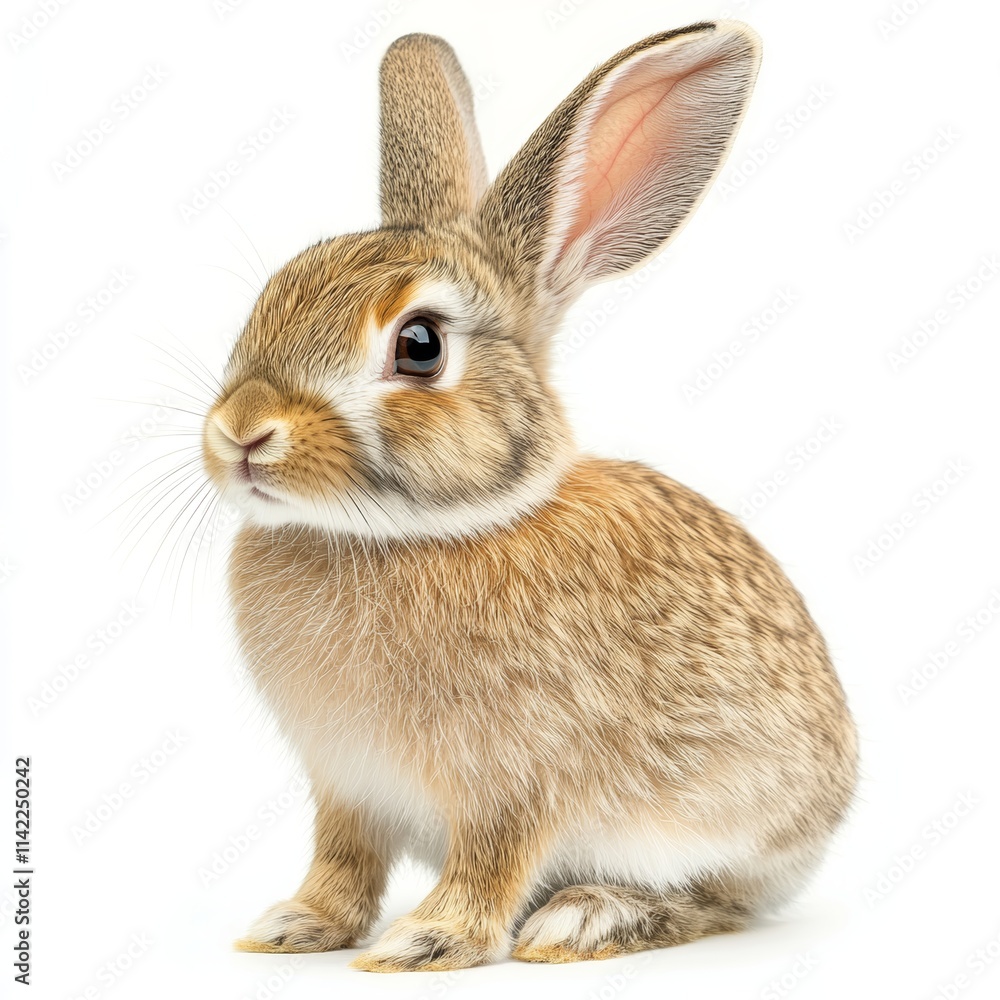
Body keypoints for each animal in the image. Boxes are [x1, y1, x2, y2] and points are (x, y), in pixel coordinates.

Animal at [201, 22, 858, 972]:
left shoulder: (515, 785)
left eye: (421, 346)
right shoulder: (346, 787)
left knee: (714, 902)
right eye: (274, 293)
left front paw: (426, 941)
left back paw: (587, 918)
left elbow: (490, 865)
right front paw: (295, 925)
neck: (410, 534)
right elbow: (342, 861)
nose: (242, 431)